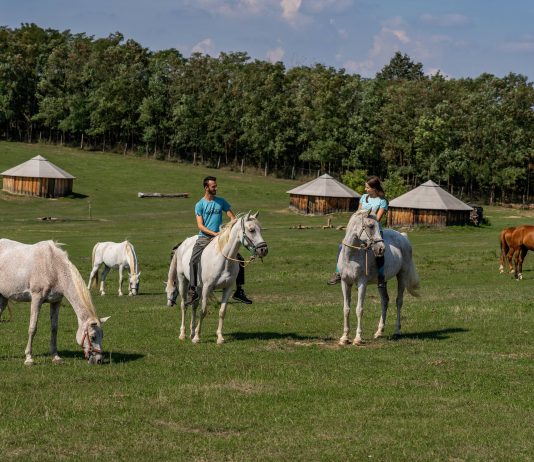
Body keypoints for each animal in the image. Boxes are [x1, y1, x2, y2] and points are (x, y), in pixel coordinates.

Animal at [165, 212, 268, 342]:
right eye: (251, 230)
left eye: (260, 229)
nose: (263, 249)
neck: (223, 259)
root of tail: (183, 244)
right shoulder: (207, 287)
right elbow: (203, 311)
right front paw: (197, 338)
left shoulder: (227, 288)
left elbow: (222, 312)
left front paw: (219, 337)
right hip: (183, 280)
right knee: (184, 305)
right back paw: (183, 334)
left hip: (198, 287)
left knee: (194, 305)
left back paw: (192, 332)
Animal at [340, 211, 422, 344]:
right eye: (371, 226)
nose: (381, 249)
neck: (350, 257)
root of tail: (403, 237)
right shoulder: (345, 282)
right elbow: (346, 309)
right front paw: (344, 337)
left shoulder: (362, 283)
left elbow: (359, 309)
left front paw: (358, 338)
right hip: (382, 281)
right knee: (385, 301)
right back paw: (379, 331)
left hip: (402, 276)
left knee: (399, 301)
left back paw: (397, 331)